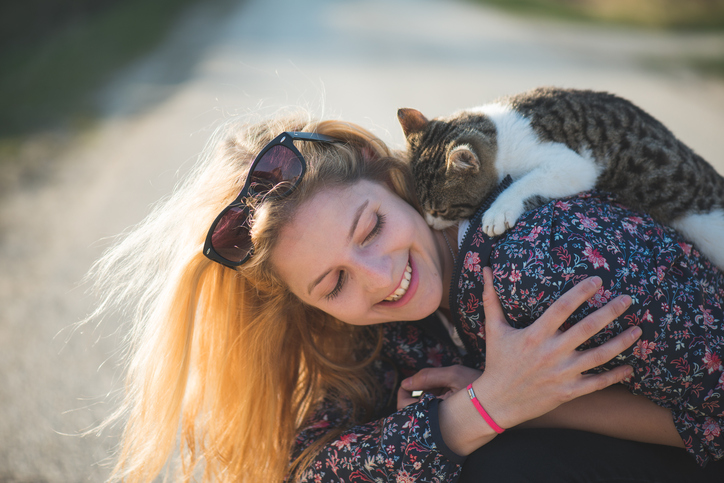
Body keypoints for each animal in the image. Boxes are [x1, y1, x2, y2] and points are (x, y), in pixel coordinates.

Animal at [398, 87, 724, 268]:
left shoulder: (574, 164)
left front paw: (498, 210)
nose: (430, 224)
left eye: (442, 210)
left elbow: (524, 182)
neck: (498, 132)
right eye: (421, 206)